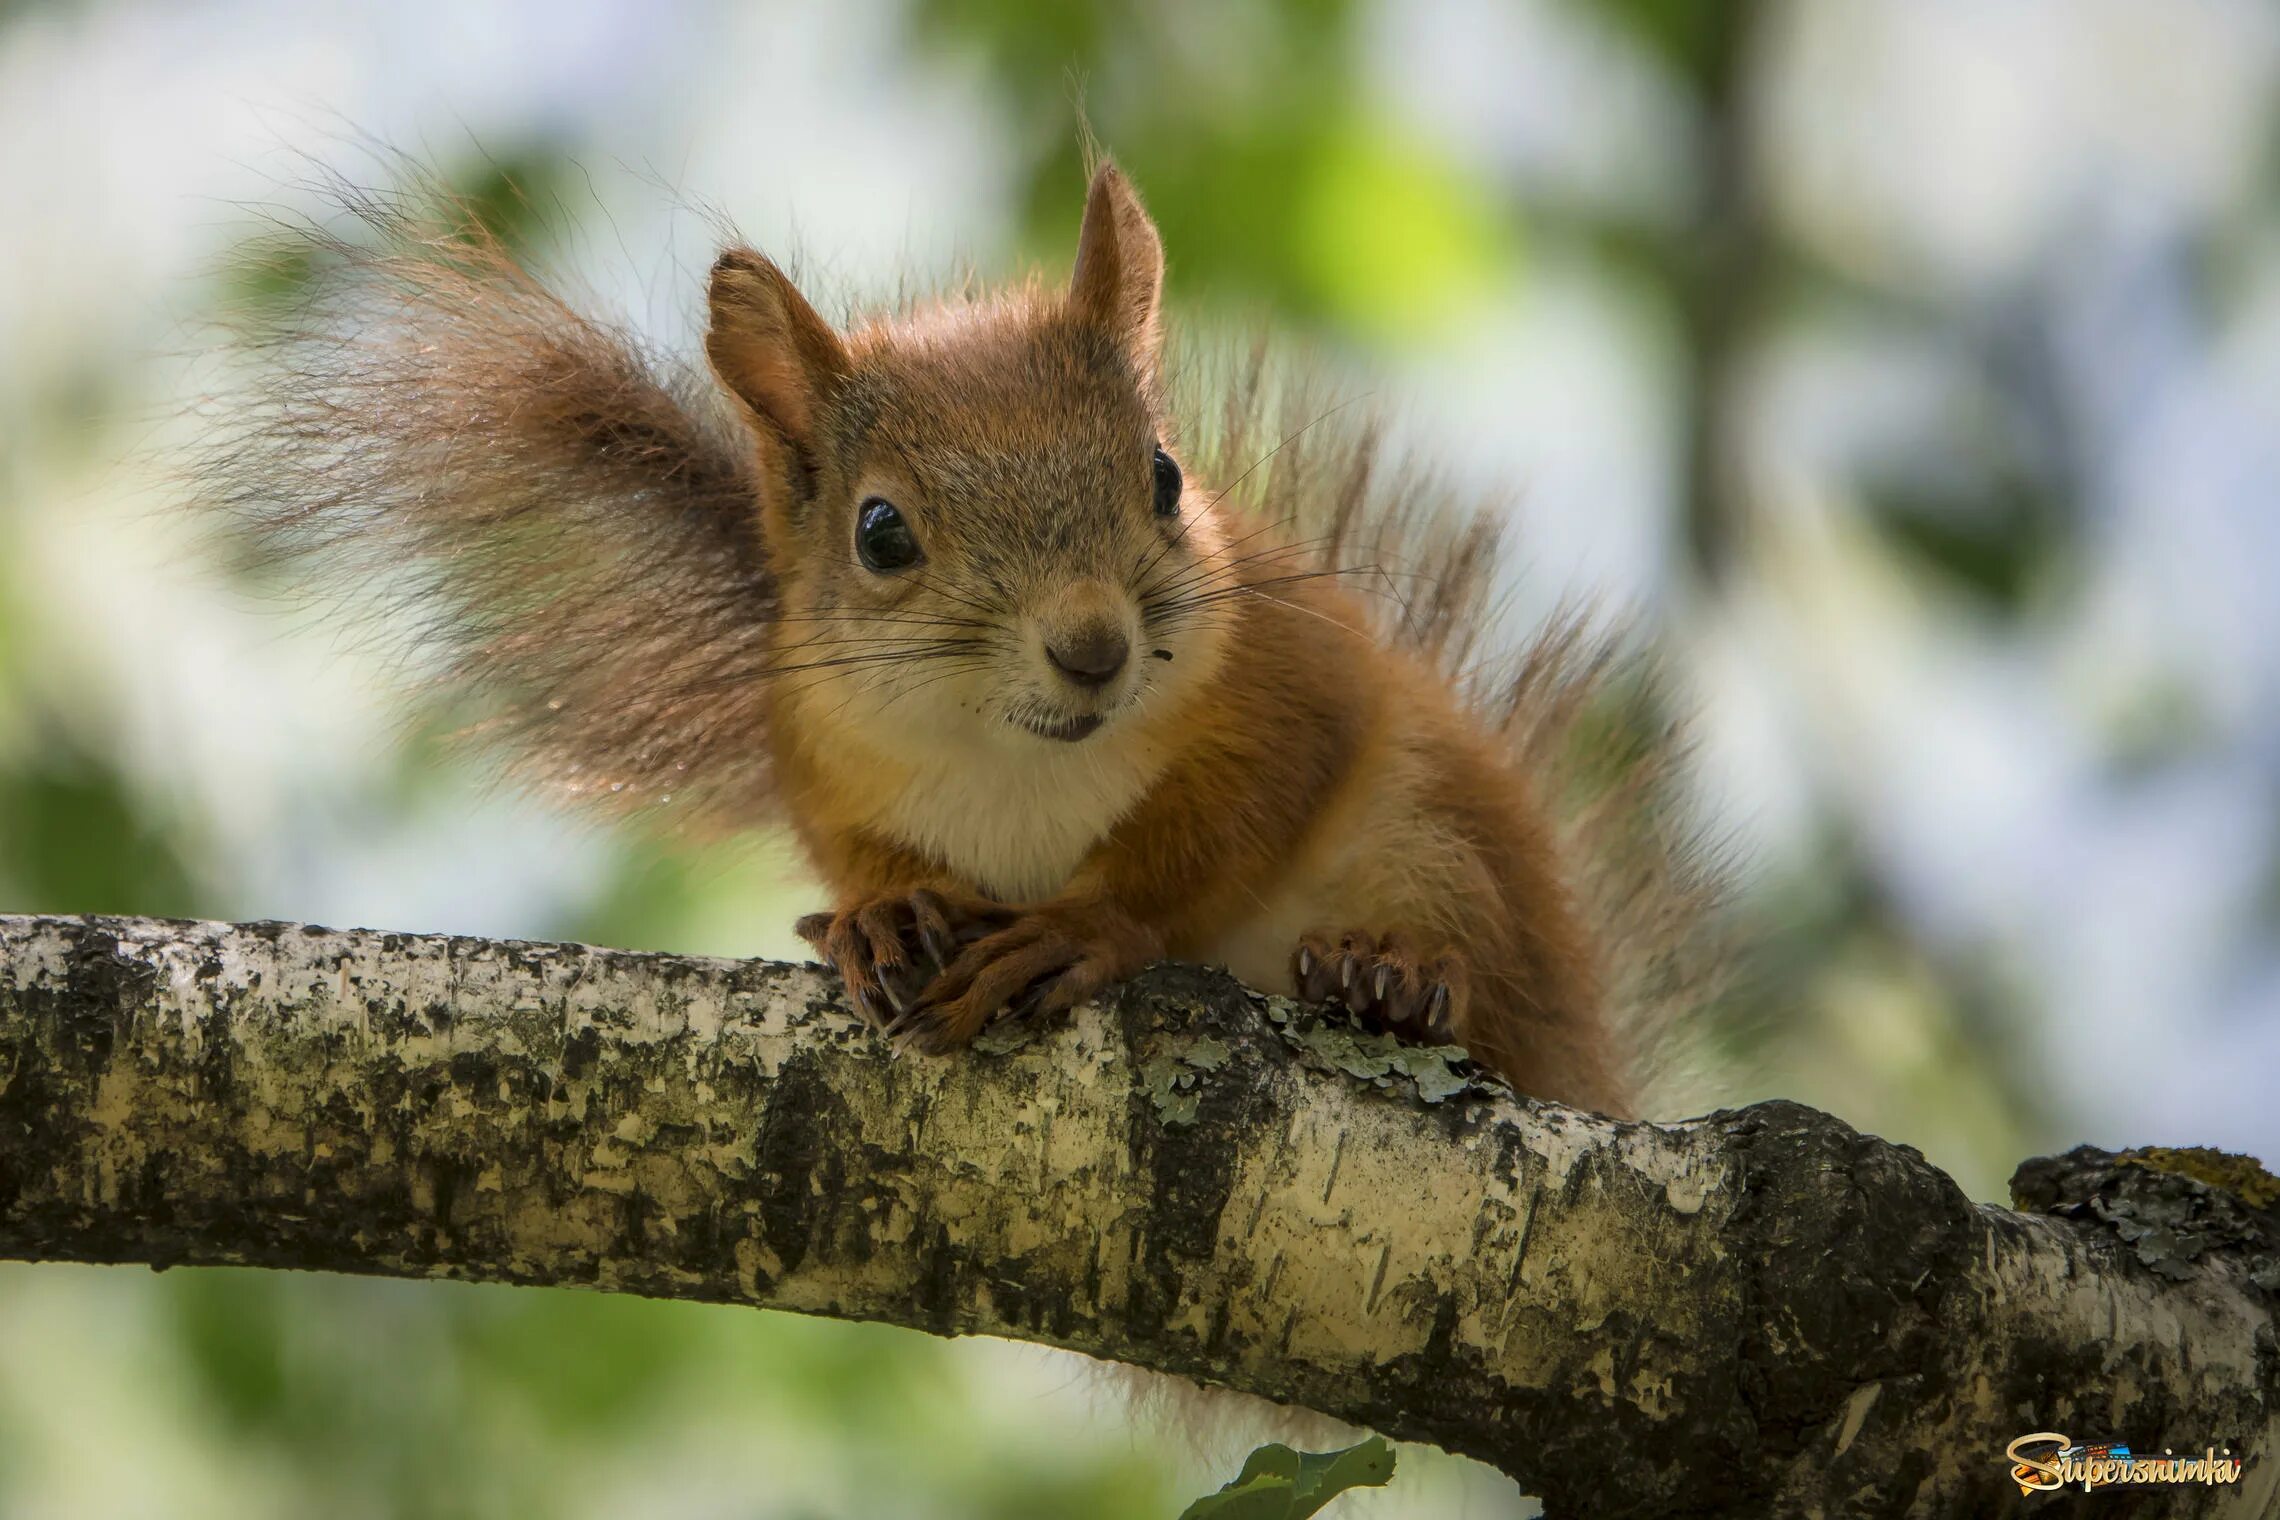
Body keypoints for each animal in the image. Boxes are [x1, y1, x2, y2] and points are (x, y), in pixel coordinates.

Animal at [196, 160, 1723, 1125]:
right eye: (881, 535)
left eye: (1165, 476)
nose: (1095, 648)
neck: (1016, 761)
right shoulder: (816, 752)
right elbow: (847, 851)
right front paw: (876, 916)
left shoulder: (1302, 676)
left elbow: (1229, 824)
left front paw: (1085, 925)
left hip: (1440, 837)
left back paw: (1392, 976)